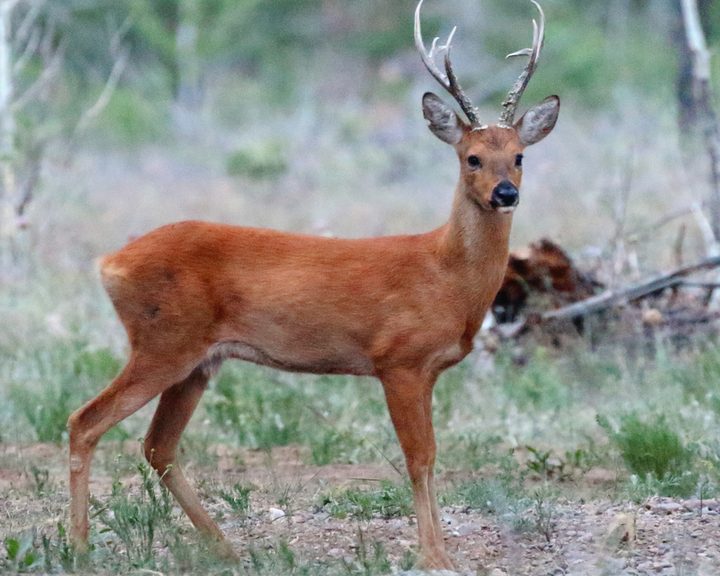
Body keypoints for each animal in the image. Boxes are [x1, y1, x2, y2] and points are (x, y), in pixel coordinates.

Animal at [67, 0, 559, 570]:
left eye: (520, 156)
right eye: (472, 157)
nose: (505, 193)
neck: (445, 275)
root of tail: (109, 263)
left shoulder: (426, 370)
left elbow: (431, 457)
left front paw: (439, 552)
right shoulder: (398, 360)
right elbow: (420, 458)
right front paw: (435, 556)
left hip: (198, 359)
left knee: (157, 446)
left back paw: (226, 549)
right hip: (163, 341)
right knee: (85, 421)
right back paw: (79, 548)